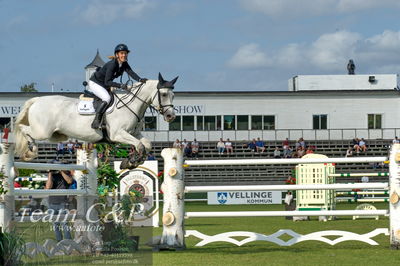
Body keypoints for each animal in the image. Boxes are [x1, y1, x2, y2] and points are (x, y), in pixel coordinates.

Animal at [14, 72, 177, 168]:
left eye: (173, 95)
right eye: (163, 94)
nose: (171, 116)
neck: (130, 105)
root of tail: (37, 100)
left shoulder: (133, 133)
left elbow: (146, 144)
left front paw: (132, 161)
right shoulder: (117, 134)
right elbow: (140, 145)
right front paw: (131, 162)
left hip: (56, 135)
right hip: (42, 132)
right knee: (23, 129)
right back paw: (31, 149)